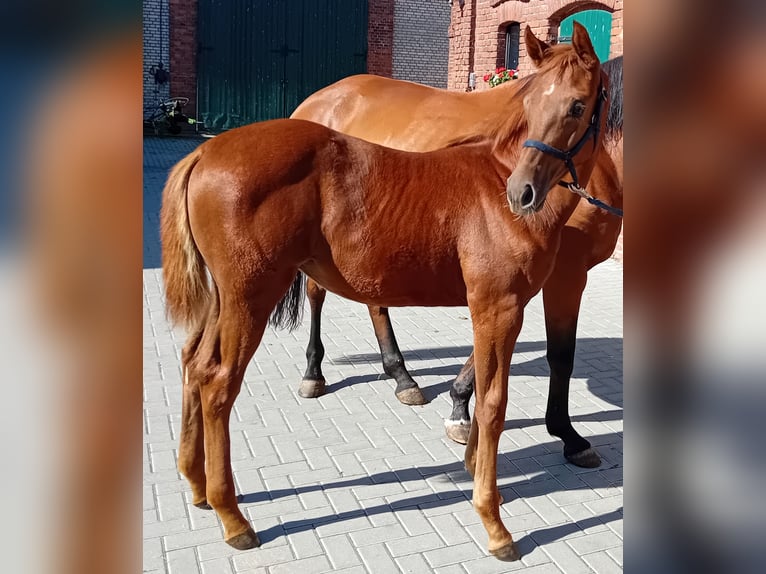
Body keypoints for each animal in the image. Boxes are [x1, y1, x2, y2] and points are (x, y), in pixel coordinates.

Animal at [292, 41, 628, 468]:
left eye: (577, 107)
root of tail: (316, 101)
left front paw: (461, 405)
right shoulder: (565, 274)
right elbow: (560, 355)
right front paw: (568, 436)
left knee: (374, 301)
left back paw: (402, 376)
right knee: (316, 294)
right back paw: (313, 373)